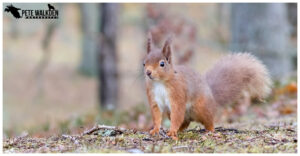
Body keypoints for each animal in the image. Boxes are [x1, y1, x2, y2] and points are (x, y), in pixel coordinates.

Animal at [144, 33, 272, 140]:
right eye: (144, 63)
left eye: (162, 64)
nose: (148, 72)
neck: (160, 83)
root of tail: (212, 96)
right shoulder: (153, 97)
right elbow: (156, 115)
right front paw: (155, 129)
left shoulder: (177, 94)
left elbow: (177, 114)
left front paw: (172, 131)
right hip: (175, 113)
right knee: (185, 123)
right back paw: (180, 130)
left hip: (201, 108)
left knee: (208, 121)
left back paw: (209, 130)